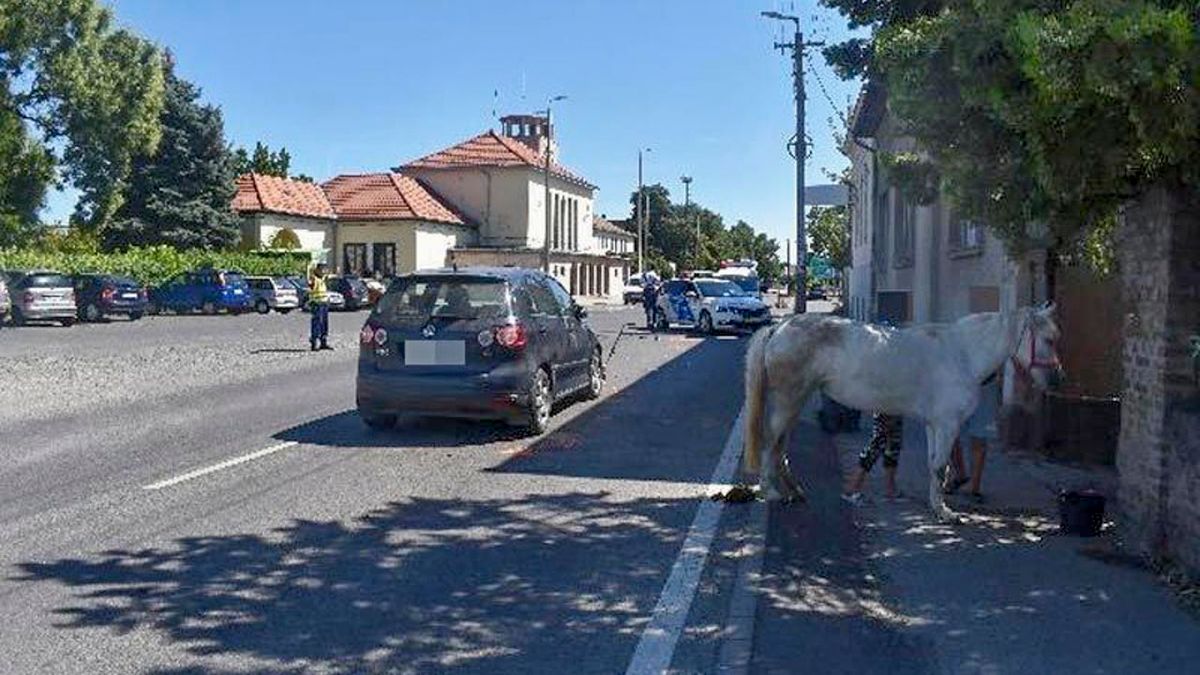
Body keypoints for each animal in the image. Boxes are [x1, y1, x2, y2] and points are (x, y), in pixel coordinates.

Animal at [744, 305, 1065, 521]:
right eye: (1049, 340)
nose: (1057, 380)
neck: (962, 354)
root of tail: (780, 328)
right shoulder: (947, 424)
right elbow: (940, 466)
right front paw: (944, 512)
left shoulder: (934, 425)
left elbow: (935, 465)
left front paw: (936, 504)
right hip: (787, 402)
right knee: (771, 443)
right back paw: (771, 492)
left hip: (795, 402)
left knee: (780, 447)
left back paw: (794, 491)